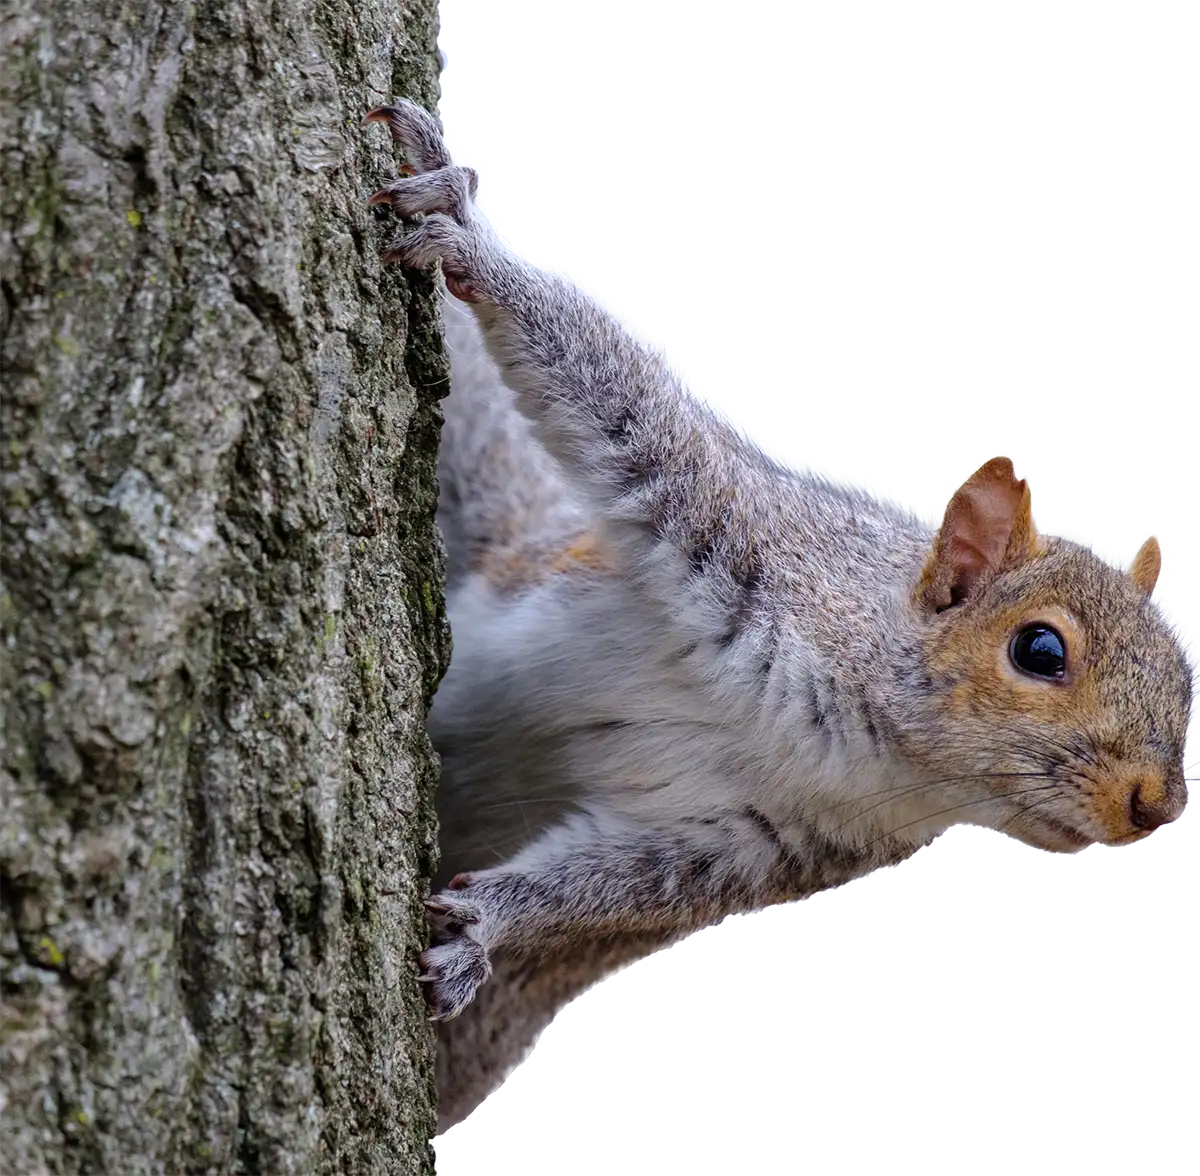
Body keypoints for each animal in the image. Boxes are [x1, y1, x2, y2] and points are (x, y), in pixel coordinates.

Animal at [364, 99, 1196, 1131]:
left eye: (1185, 679)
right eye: (1040, 650)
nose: (1156, 809)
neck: (859, 740)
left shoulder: (761, 847)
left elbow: (608, 890)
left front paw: (487, 925)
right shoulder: (729, 532)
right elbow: (609, 388)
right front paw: (466, 234)